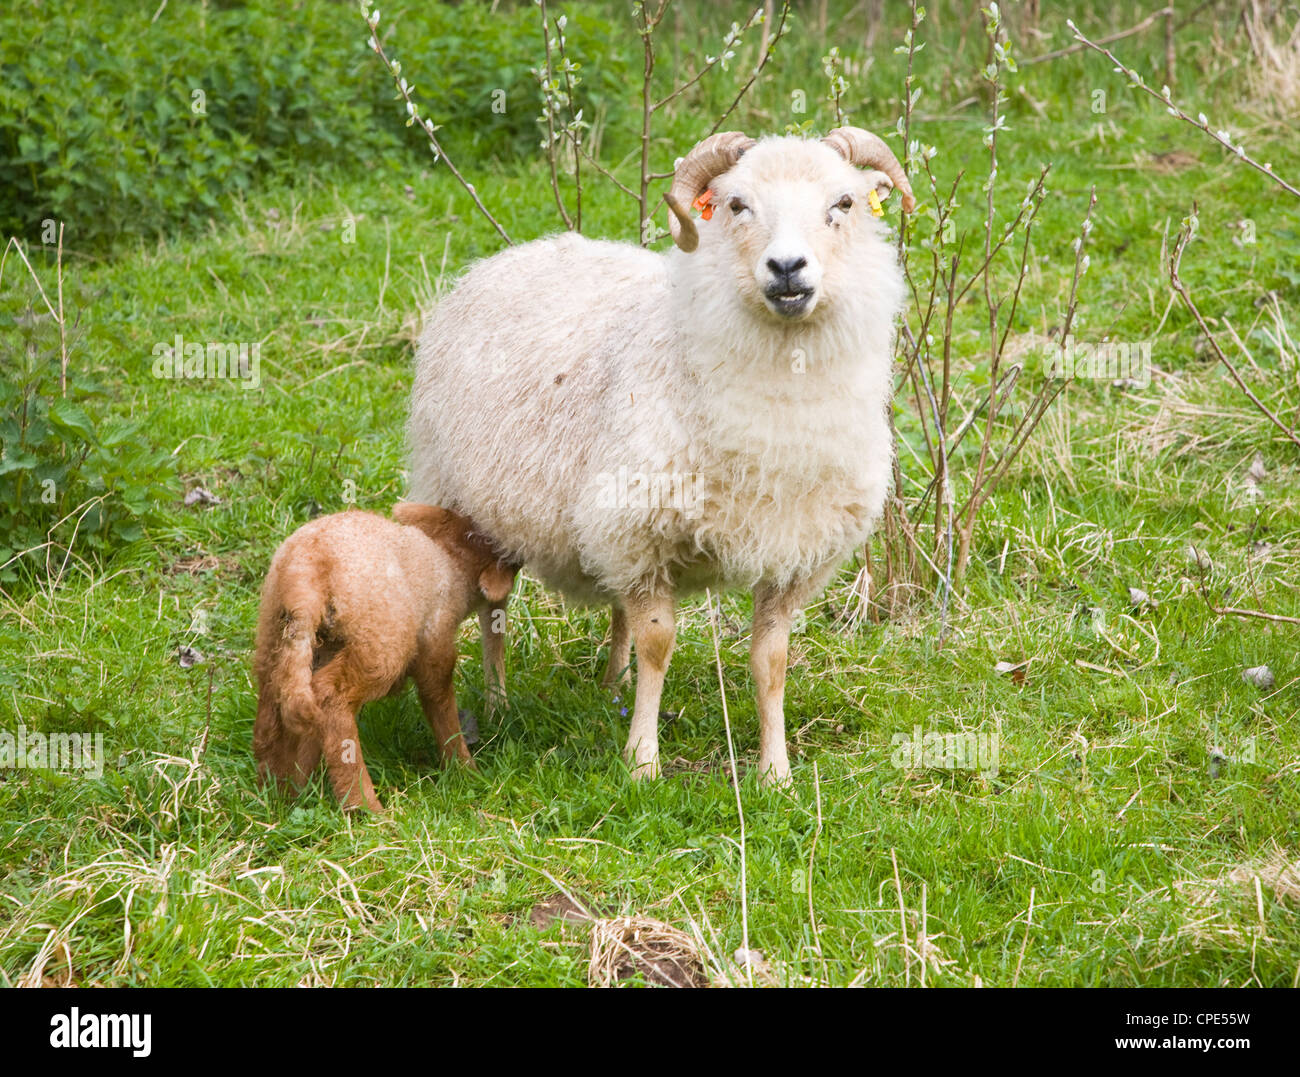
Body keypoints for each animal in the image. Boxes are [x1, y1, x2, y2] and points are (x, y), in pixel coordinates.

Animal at [250, 502, 514, 806]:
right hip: (378, 644)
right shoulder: (436, 642)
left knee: (272, 718)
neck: (449, 558)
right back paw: (364, 804)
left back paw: (281, 794)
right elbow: (440, 702)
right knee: (331, 699)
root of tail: (306, 573)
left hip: (275, 638)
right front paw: (465, 769)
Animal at [408, 126, 915, 785]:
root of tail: (517, 254)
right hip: (467, 502)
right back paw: (496, 705)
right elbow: (659, 645)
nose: (786, 268)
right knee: (495, 608)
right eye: (736, 204)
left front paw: (775, 772)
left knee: (610, 608)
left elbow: (771, 661)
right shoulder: (642, 531)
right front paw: (642, 763)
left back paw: (610, 687)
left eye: (845, 203)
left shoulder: (791, 553)